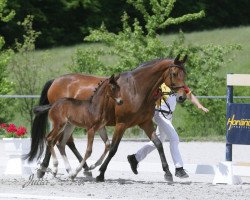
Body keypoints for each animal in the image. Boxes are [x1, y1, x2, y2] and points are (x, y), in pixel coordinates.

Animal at [26, 54, 188, 182]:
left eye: (184, 74)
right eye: (174, 73)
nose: (182, 97)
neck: (137, 88)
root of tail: (55, 80)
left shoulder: (145, 123)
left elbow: (158, 144)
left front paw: (168, 172)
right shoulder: (122, 124)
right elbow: (113, 149)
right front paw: (101, 174)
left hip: (69, 123)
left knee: (63, 142)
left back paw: (82, 169)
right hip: (62, 123)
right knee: (55, 141)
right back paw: (47, 169)